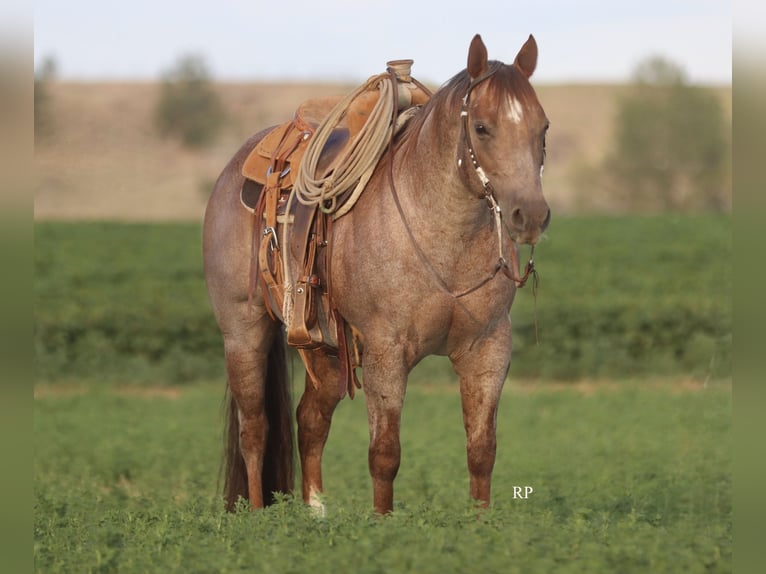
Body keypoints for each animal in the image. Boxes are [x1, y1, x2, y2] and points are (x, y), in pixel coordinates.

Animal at [203, 34, 551, 515]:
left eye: (543, 128)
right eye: (481, 128)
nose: (530, 215)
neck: (441, 238)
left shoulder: (489, 350)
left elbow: (482, 451)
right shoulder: (388, 352)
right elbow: (385, 455)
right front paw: (382, 524)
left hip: (325, 349)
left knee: (309, 421)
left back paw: (316, 514)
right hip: (243, 332)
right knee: (254, 429)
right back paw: (255, 516)